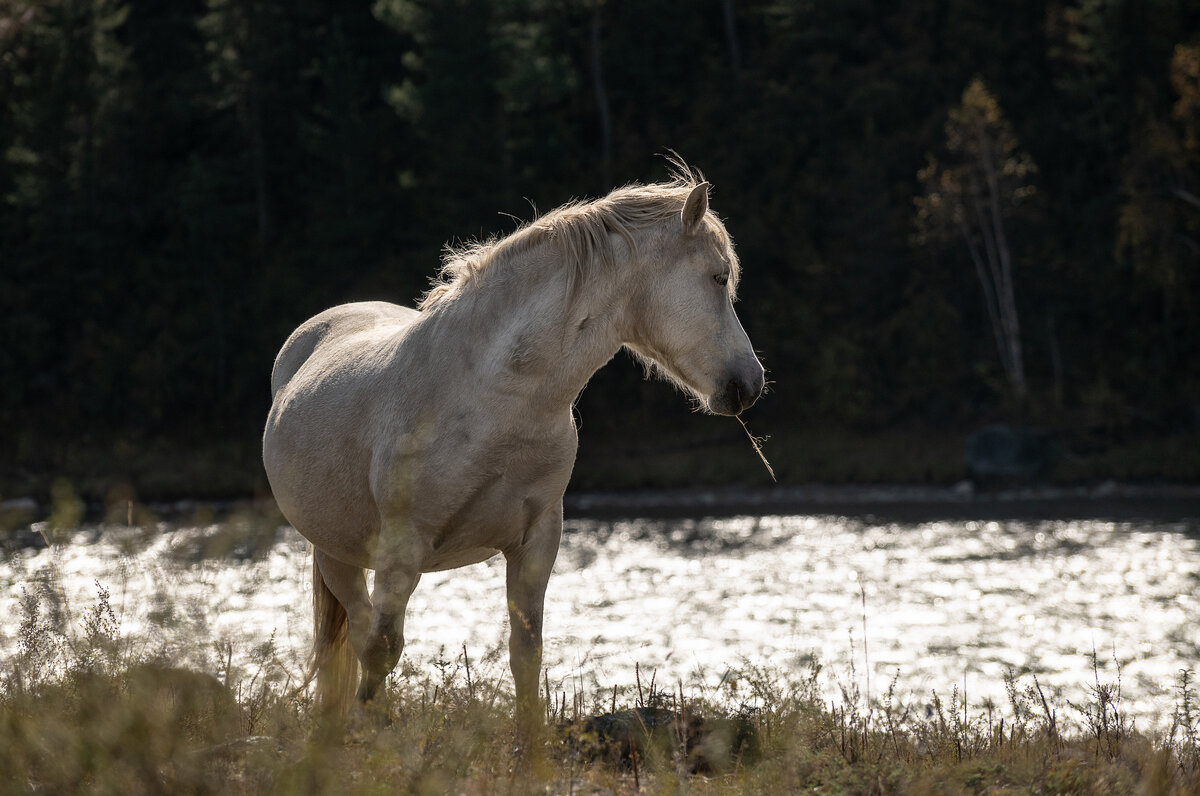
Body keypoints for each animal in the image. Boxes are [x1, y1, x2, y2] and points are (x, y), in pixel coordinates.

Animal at [266, 169, 763, 720]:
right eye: (718, 276)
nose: (750, 383)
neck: (495, 399)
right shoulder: (401, 551)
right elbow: (382, 651)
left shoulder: (536, 542)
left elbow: (526, 655)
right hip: (337, 555)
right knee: (357, 636)